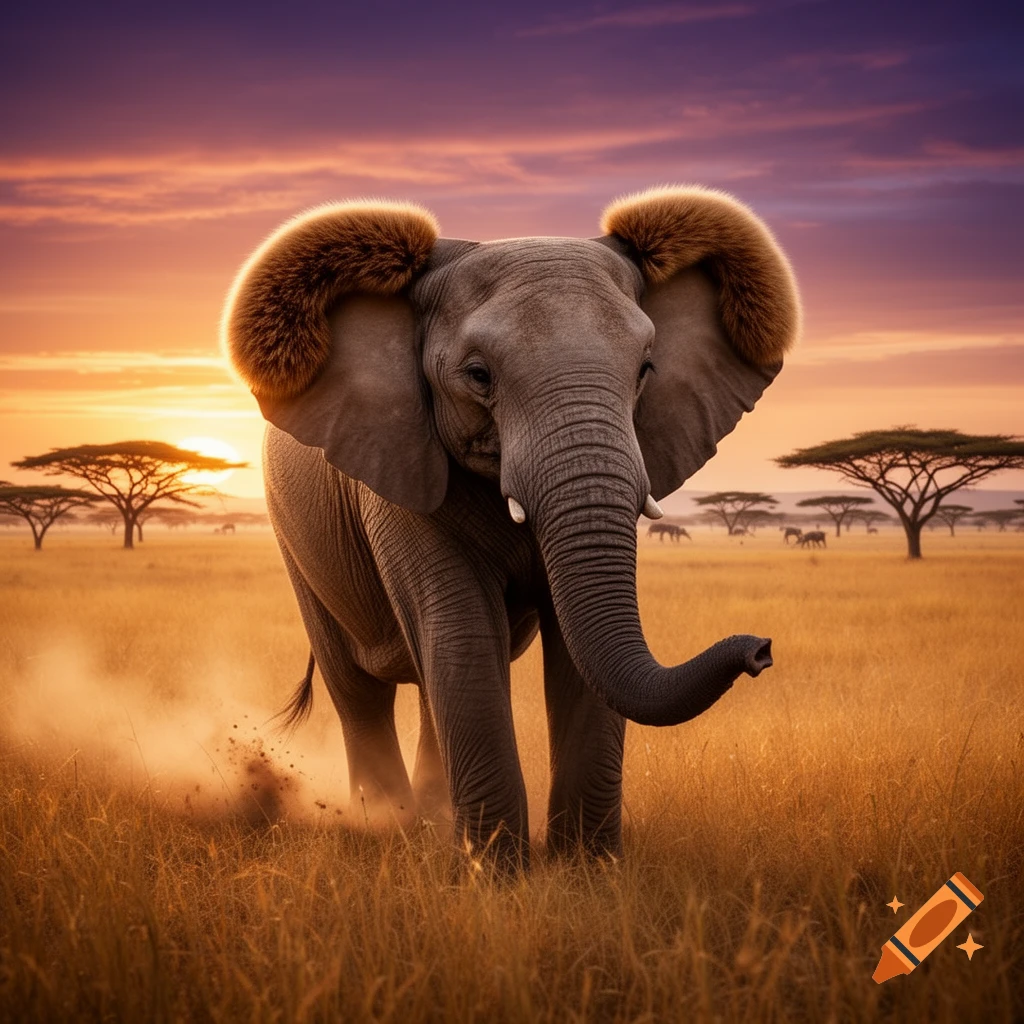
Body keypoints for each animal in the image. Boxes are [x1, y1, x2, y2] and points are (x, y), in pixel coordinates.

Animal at [223, 185, 799, 869]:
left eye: (645, 370)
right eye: (478, 376)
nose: (762, 650)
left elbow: (574, 652)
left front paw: (586, 871)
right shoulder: (397, 470)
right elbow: (463, 636)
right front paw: (496, 875)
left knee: (426, 688)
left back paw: (430, 822)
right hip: (295, 542)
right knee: (362, 692)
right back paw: (389, 831)